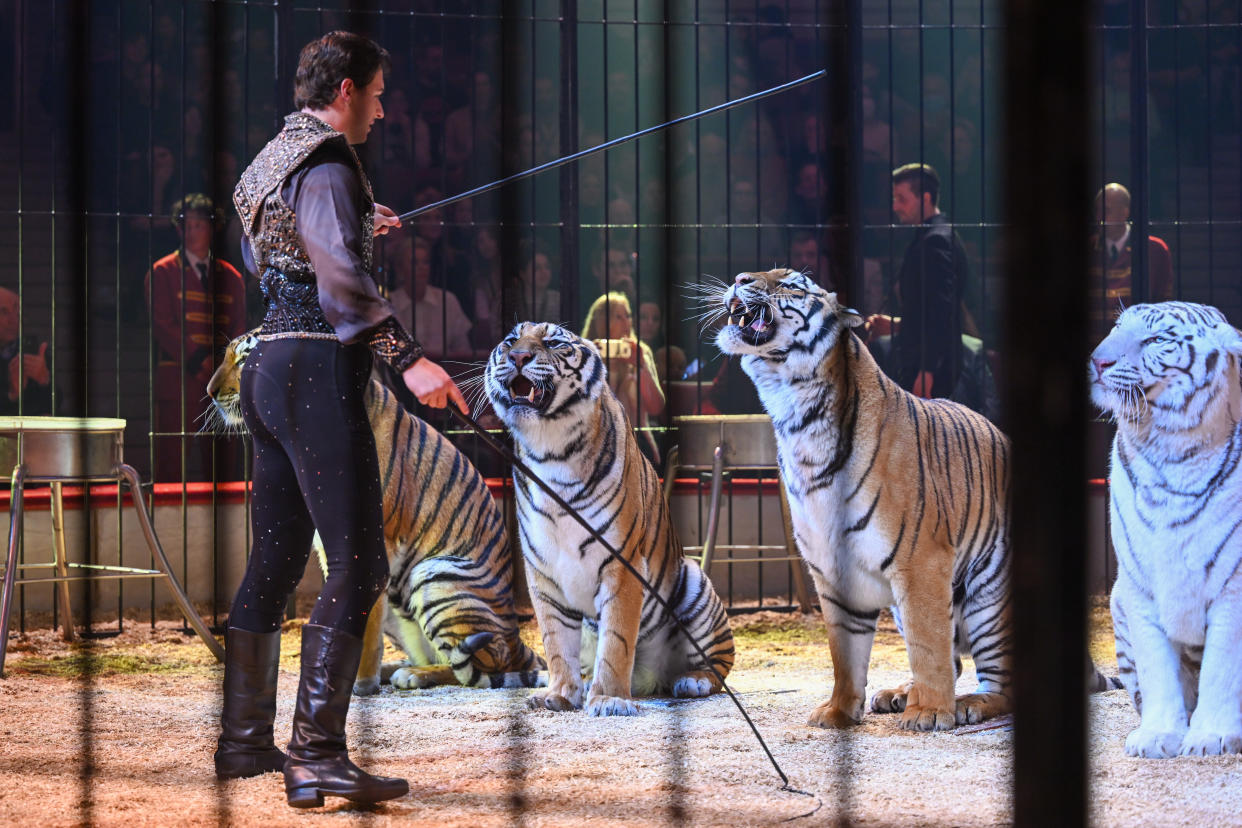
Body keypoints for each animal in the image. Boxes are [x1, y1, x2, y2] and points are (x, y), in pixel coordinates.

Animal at [206, 330, 541, 695]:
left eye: (245, 360)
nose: (211, 392)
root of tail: (518, 639)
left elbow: (364, 624)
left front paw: (360, 684)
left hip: (435, 576)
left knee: (480, 668)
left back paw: (412, 675)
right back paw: (398, 669)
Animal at [481, 320, 735, 715]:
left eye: (553, 342)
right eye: (511, 340)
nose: (518, 356)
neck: (549, 450)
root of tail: (653, 679)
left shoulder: (622, 564)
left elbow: (616, 640)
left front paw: (610, 699)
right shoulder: (543, 573)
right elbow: (556, 642)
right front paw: (559, 693)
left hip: (695, 586)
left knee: (719, 664)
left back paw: (692, 681)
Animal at [720, 269, 1117, 729]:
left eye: (792, 285)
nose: (739, 278)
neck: (797, 415)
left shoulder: (921, 560)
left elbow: (928, 644)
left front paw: (928, 712)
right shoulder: (832, 572)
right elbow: (845, 654)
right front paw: (839, 712)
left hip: (990, 597)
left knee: (1003, 682)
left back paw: (965, 704)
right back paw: (899, 693)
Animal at [1087, 302, 1242, 759]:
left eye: (1156, 340)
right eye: (1117, 328)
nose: (1098, 360)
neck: (1171, 451)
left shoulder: (1233, 586)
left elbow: (1221, 667)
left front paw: (1211, 736)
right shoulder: (1138, 587)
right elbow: (1158, 668)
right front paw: (1159, 736)